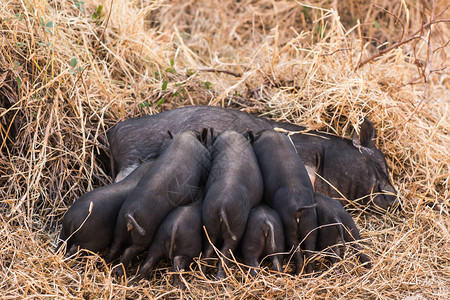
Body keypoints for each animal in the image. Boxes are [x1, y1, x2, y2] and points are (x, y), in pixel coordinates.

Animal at [105, 129, 211, 276]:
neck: (186, 137)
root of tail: (129, 214)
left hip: (120, 227)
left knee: (115, 246)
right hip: (143, 235)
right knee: (130, 251)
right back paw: (120, 272)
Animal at [201, 131, 262, 278]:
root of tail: (223, 205)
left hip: (209, 218)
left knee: (209, 249)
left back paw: (205, 274)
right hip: (237, 224)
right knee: (226, 252)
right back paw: (220, 277)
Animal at [253, 130, 316, 276]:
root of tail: (298, 206)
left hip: (290, 228)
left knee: (297, 252)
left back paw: (296, 273)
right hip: (310, 225)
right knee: (309, 251)